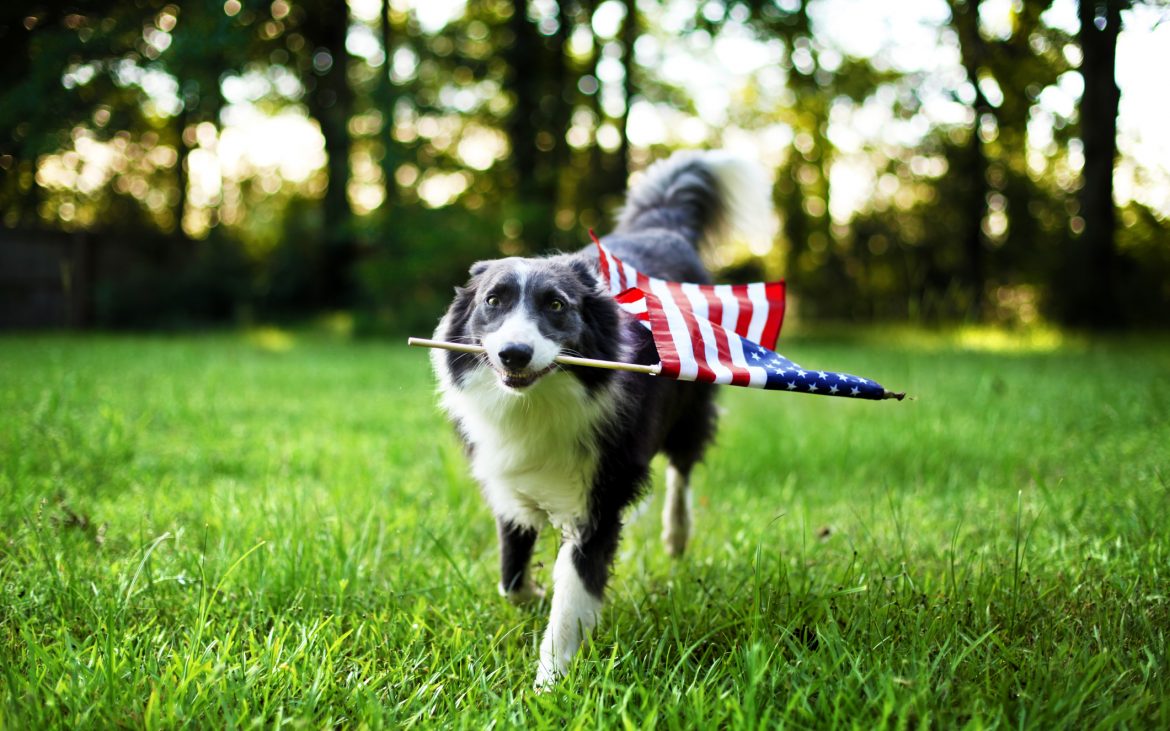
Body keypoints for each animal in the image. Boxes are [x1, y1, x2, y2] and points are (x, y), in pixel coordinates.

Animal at [432, 150, 776, 687]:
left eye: (556, 305)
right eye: (493, 301)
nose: (513, 354)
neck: (539, 400)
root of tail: (662, 227)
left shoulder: (600, 494)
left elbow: (574, 594)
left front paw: (549, 684)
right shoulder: (506, 475)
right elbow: (510, 575)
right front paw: (532, 596)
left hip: (691, 405)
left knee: (682, 468)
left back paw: (676, 535)